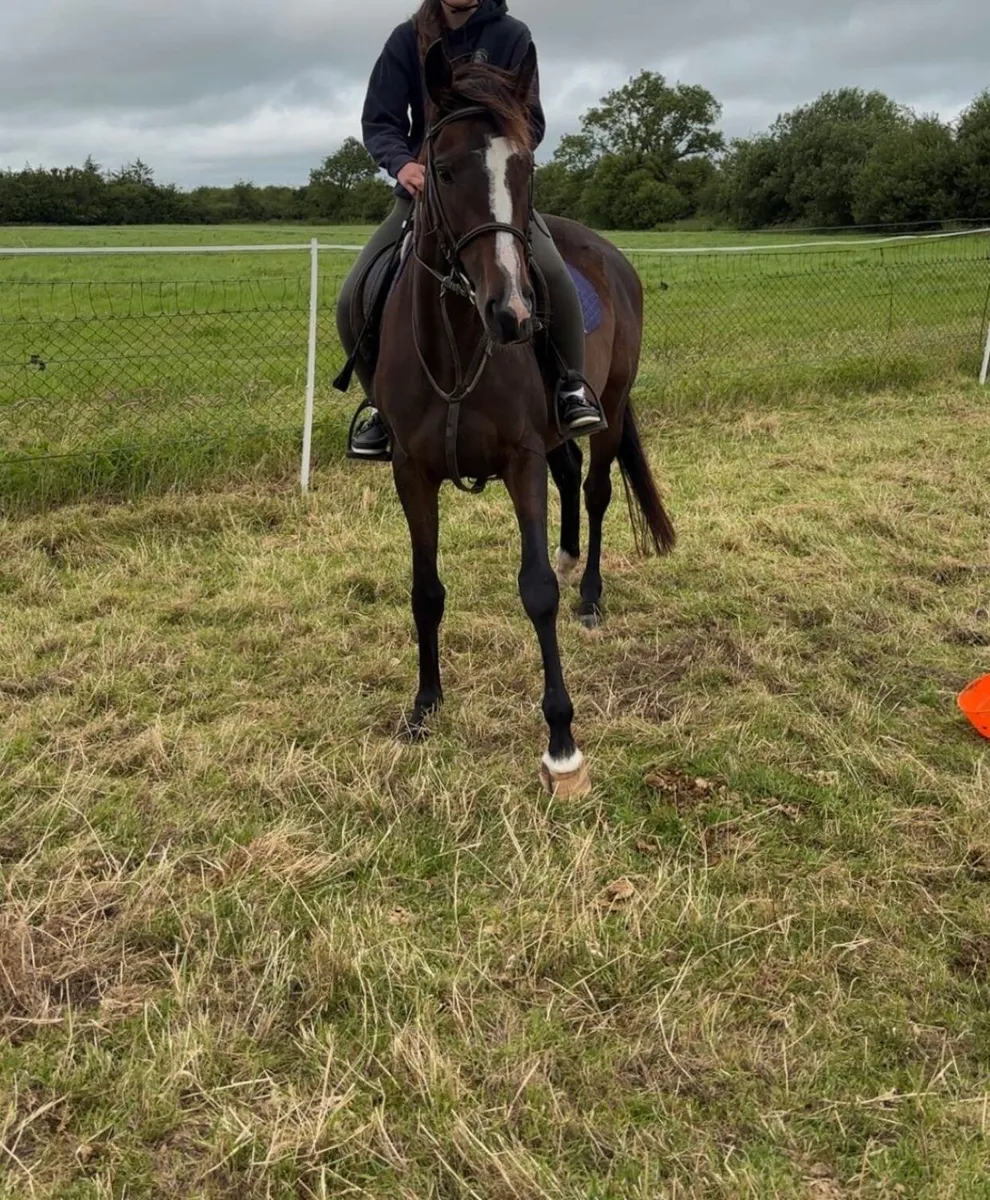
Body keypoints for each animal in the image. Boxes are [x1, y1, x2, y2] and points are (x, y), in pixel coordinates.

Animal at [370, 41, 675, 798]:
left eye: (525, 166)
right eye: (443, 168)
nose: (511, 313)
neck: (458, 346)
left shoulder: (520, 461)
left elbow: (535, 593)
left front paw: (562, 745)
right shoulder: (411, 472)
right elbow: (425, 590)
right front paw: (425, 706)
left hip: (611, 407)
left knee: (593, 492)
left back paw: (589, 594)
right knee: (572, 482)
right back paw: (570, 559)